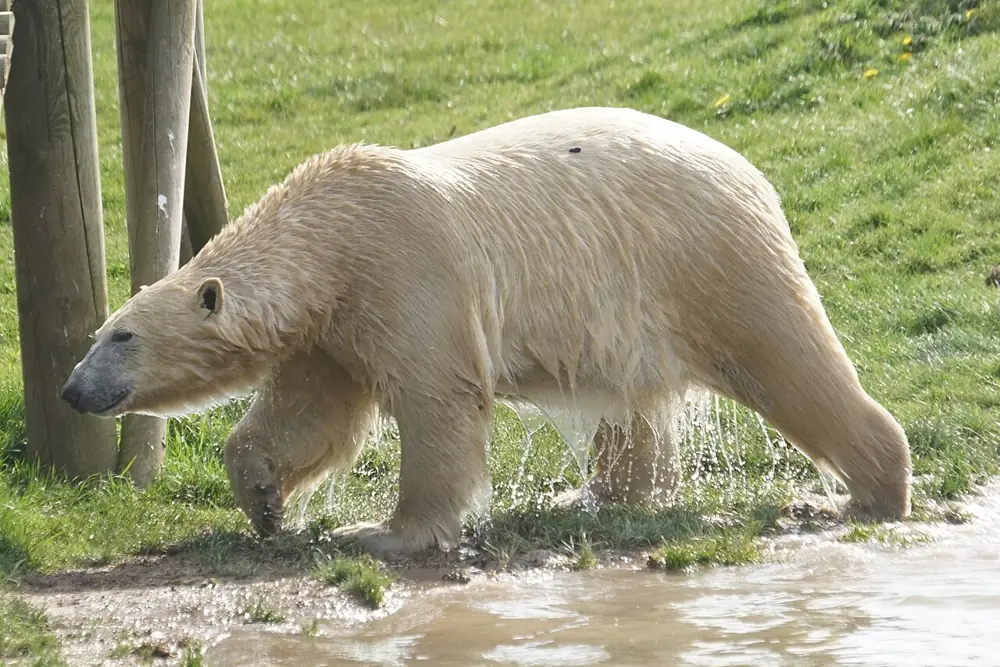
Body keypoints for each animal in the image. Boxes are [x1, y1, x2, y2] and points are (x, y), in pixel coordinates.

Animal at [60, 106, 912, 556]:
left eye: (121, 338)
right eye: (101, 331)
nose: (72, 389)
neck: (333, 229)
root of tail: (750, 170)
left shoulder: (407, 266)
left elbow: (437, 399)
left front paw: (383, 531)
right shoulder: (334, 325)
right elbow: (314, 415)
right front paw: (265, 501)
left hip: (703, 257)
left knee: (788, 358)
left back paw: (870, 489)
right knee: (631, 408)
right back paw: (597, 494)